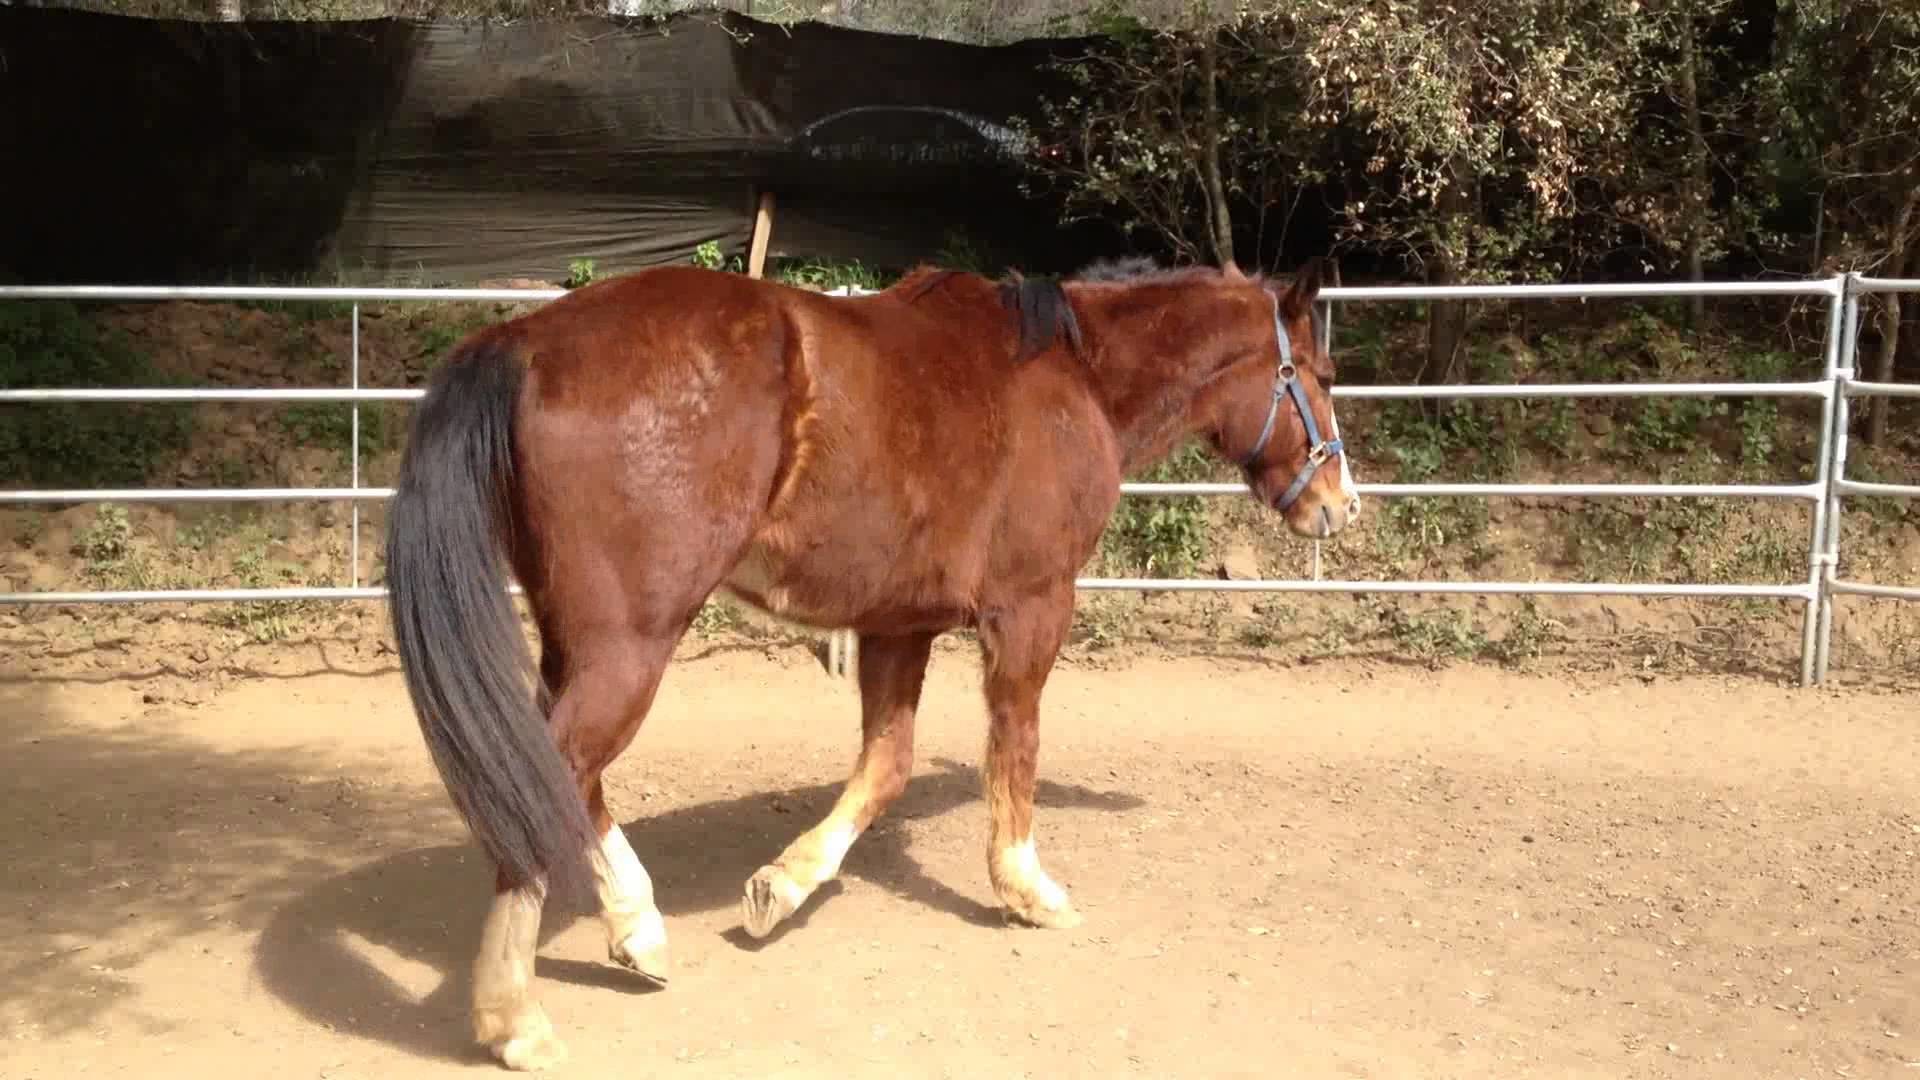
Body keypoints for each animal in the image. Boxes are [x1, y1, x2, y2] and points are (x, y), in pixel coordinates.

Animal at [383, 255, 1361, 1070]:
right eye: (1318, 377)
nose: (1340, 504)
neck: (1071, 374)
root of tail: (525, 342)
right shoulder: (1032, 608)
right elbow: (1015, 746)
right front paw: (1026, 887)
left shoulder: (900, 625)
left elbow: (885, 768)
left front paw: (785, 885)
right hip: (631, 644)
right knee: (547, 772)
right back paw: (514, 1015)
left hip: (580, 643)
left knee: (556, 778)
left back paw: (638, 931)